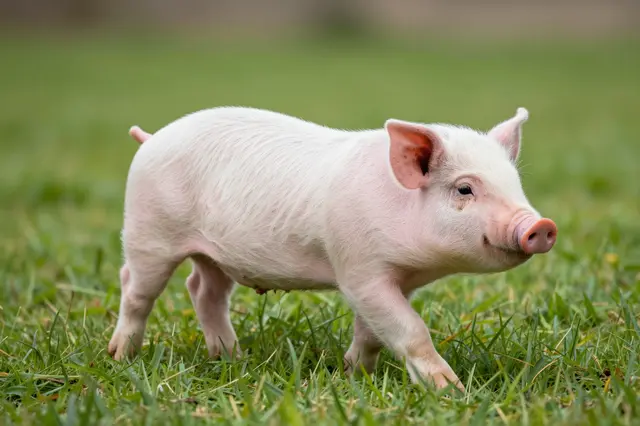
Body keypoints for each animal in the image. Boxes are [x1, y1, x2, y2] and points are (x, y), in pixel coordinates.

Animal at [108, 106, 557, 392]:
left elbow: (373, 332)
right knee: (135, 287)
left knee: (203, 291)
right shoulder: (358, 268)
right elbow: (410, 328)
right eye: (465, 189)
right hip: (148, 231)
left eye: (515, 184)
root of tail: (151, 138)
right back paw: (121, 357)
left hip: (214, 254)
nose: (541, 226)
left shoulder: (397, 280)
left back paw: (232, 359)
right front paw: (450, 389)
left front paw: (354, 374)